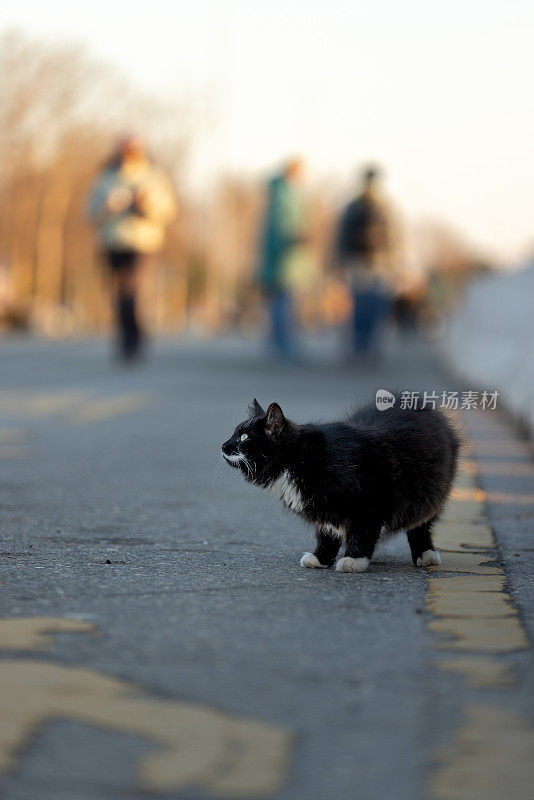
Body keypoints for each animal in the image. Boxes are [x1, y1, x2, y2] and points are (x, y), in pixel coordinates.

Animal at [222, 396, 460, 572]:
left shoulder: (369, 503)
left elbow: (361, 531)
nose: (223, 445)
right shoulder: (324, 508)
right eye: (234, 433)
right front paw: (322, 558)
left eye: (243, 437)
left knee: (421, 525)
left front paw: (354, 559)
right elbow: (327, 533)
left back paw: (425, 554)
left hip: (429, 495)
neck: (298, 458)